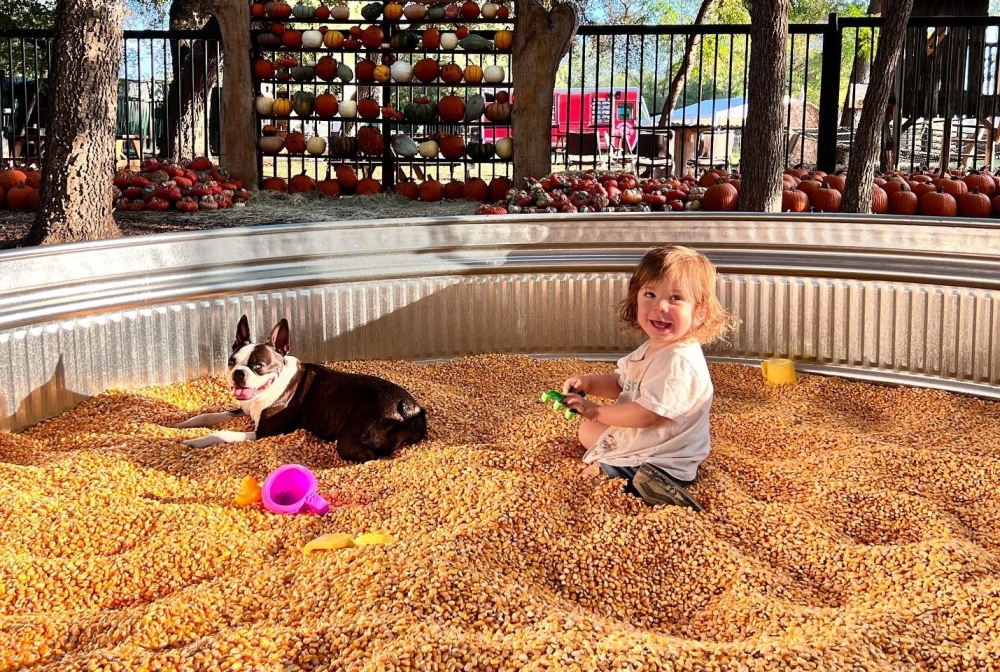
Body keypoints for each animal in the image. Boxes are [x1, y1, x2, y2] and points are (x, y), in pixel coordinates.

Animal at [176, 316, 426, 462]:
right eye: (231, 362)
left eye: (259, 366)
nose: (239, 373)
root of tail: (408, 407)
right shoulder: (244, 408)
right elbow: (210, 415)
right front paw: (183, 425)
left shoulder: (263, 432)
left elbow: (224, 432)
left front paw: (197, 441)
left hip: (350, 439)